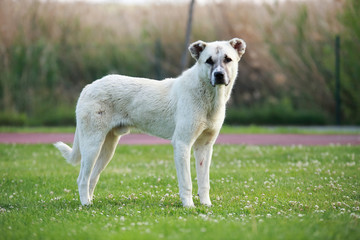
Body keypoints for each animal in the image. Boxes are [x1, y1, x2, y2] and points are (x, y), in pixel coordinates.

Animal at [54, 38, 246, 207]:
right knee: (82, 178)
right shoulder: (182, 144)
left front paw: (206, 205)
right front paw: (189, 206)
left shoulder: (205, 147)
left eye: (227, 59)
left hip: (107, 149)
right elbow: (187, 182)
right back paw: (85, 204)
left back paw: (90, 203)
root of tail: (88, 87)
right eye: (208, 61)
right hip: (92, 145)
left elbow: (204, 182)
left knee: (92, 178)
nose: (219, 75)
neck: (208, 96)